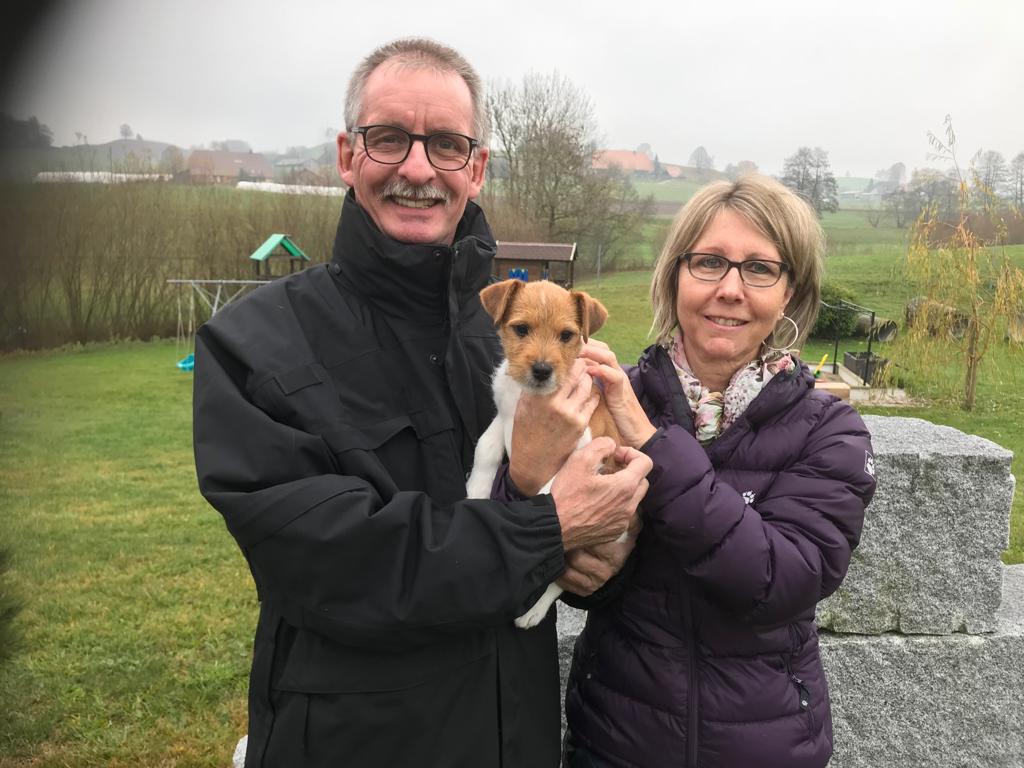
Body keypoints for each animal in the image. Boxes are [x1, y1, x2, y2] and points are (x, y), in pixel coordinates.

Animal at [466, 278, 624, 628]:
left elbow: (551, 486)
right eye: (521, 329)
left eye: (566, 335)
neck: (529, 397)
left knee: (559, 579)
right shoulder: (503, 418)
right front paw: (477, 490)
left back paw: (532, 612)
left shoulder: (587, 445)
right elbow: (485, 447)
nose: (541, 370)